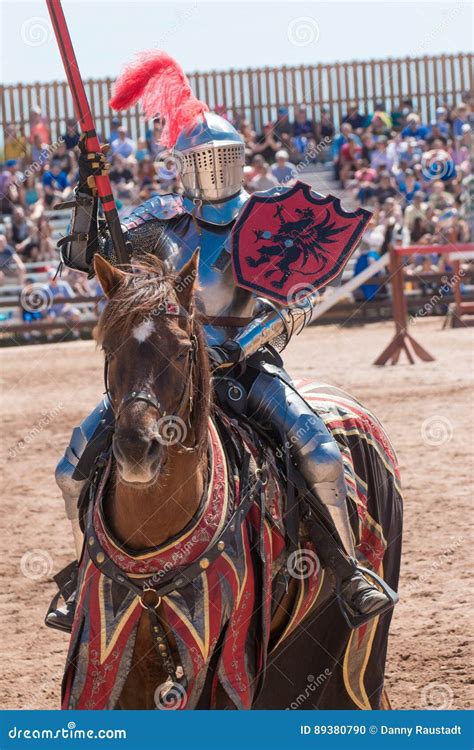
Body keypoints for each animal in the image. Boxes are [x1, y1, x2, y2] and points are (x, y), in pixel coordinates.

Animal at [62, 253, 404, 712]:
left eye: (183, 351)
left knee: (321, 456)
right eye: (109, 347)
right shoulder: (107, 654)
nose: (136, 450)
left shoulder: (225, 664)